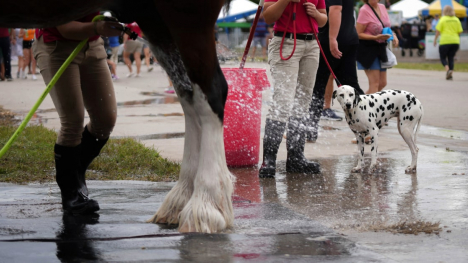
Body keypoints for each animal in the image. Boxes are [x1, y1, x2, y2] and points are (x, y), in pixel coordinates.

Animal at [0, 0, 234, 234]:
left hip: (188, 15)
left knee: (210, 93)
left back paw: (204, 206)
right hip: (155, 20)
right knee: (188, 95)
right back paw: (178, 202)